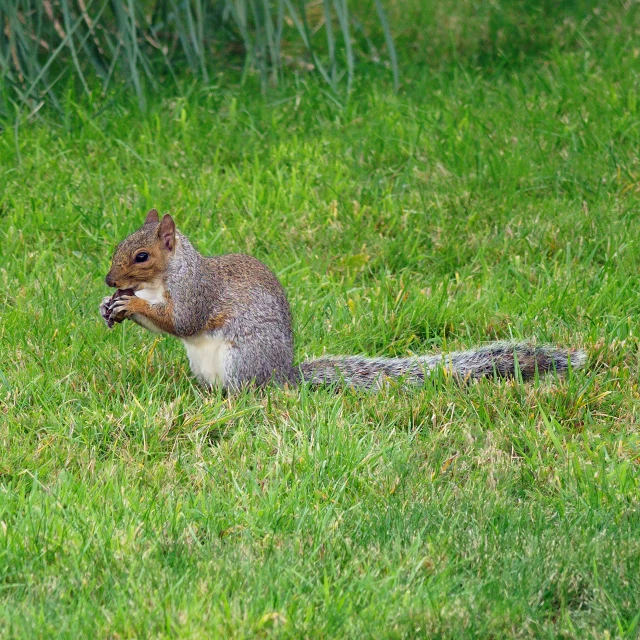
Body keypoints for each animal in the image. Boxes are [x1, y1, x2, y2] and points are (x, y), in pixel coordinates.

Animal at [99, 210, 584, 390]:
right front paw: (112, 306)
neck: (164, 278)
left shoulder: (196, 292)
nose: (108, 279)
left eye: (141, 256)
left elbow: (181, 322)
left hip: (242, 360)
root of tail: (284, 377)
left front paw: (131, 305)